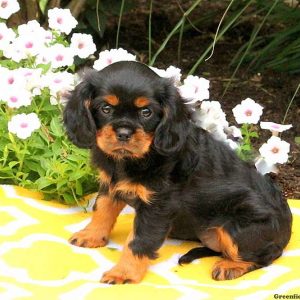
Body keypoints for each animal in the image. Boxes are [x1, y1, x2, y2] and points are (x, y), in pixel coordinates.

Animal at [63, 60, 292, 284]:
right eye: (106, 108)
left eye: (146, 112)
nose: (124, 133)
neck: (134, 158)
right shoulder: (111, 183)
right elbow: (102, 209)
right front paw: (91, 235)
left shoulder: (158, 206)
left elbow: (138, 241)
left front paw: (123, 273)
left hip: (238, 225)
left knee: (267, 255)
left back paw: (231, 266)